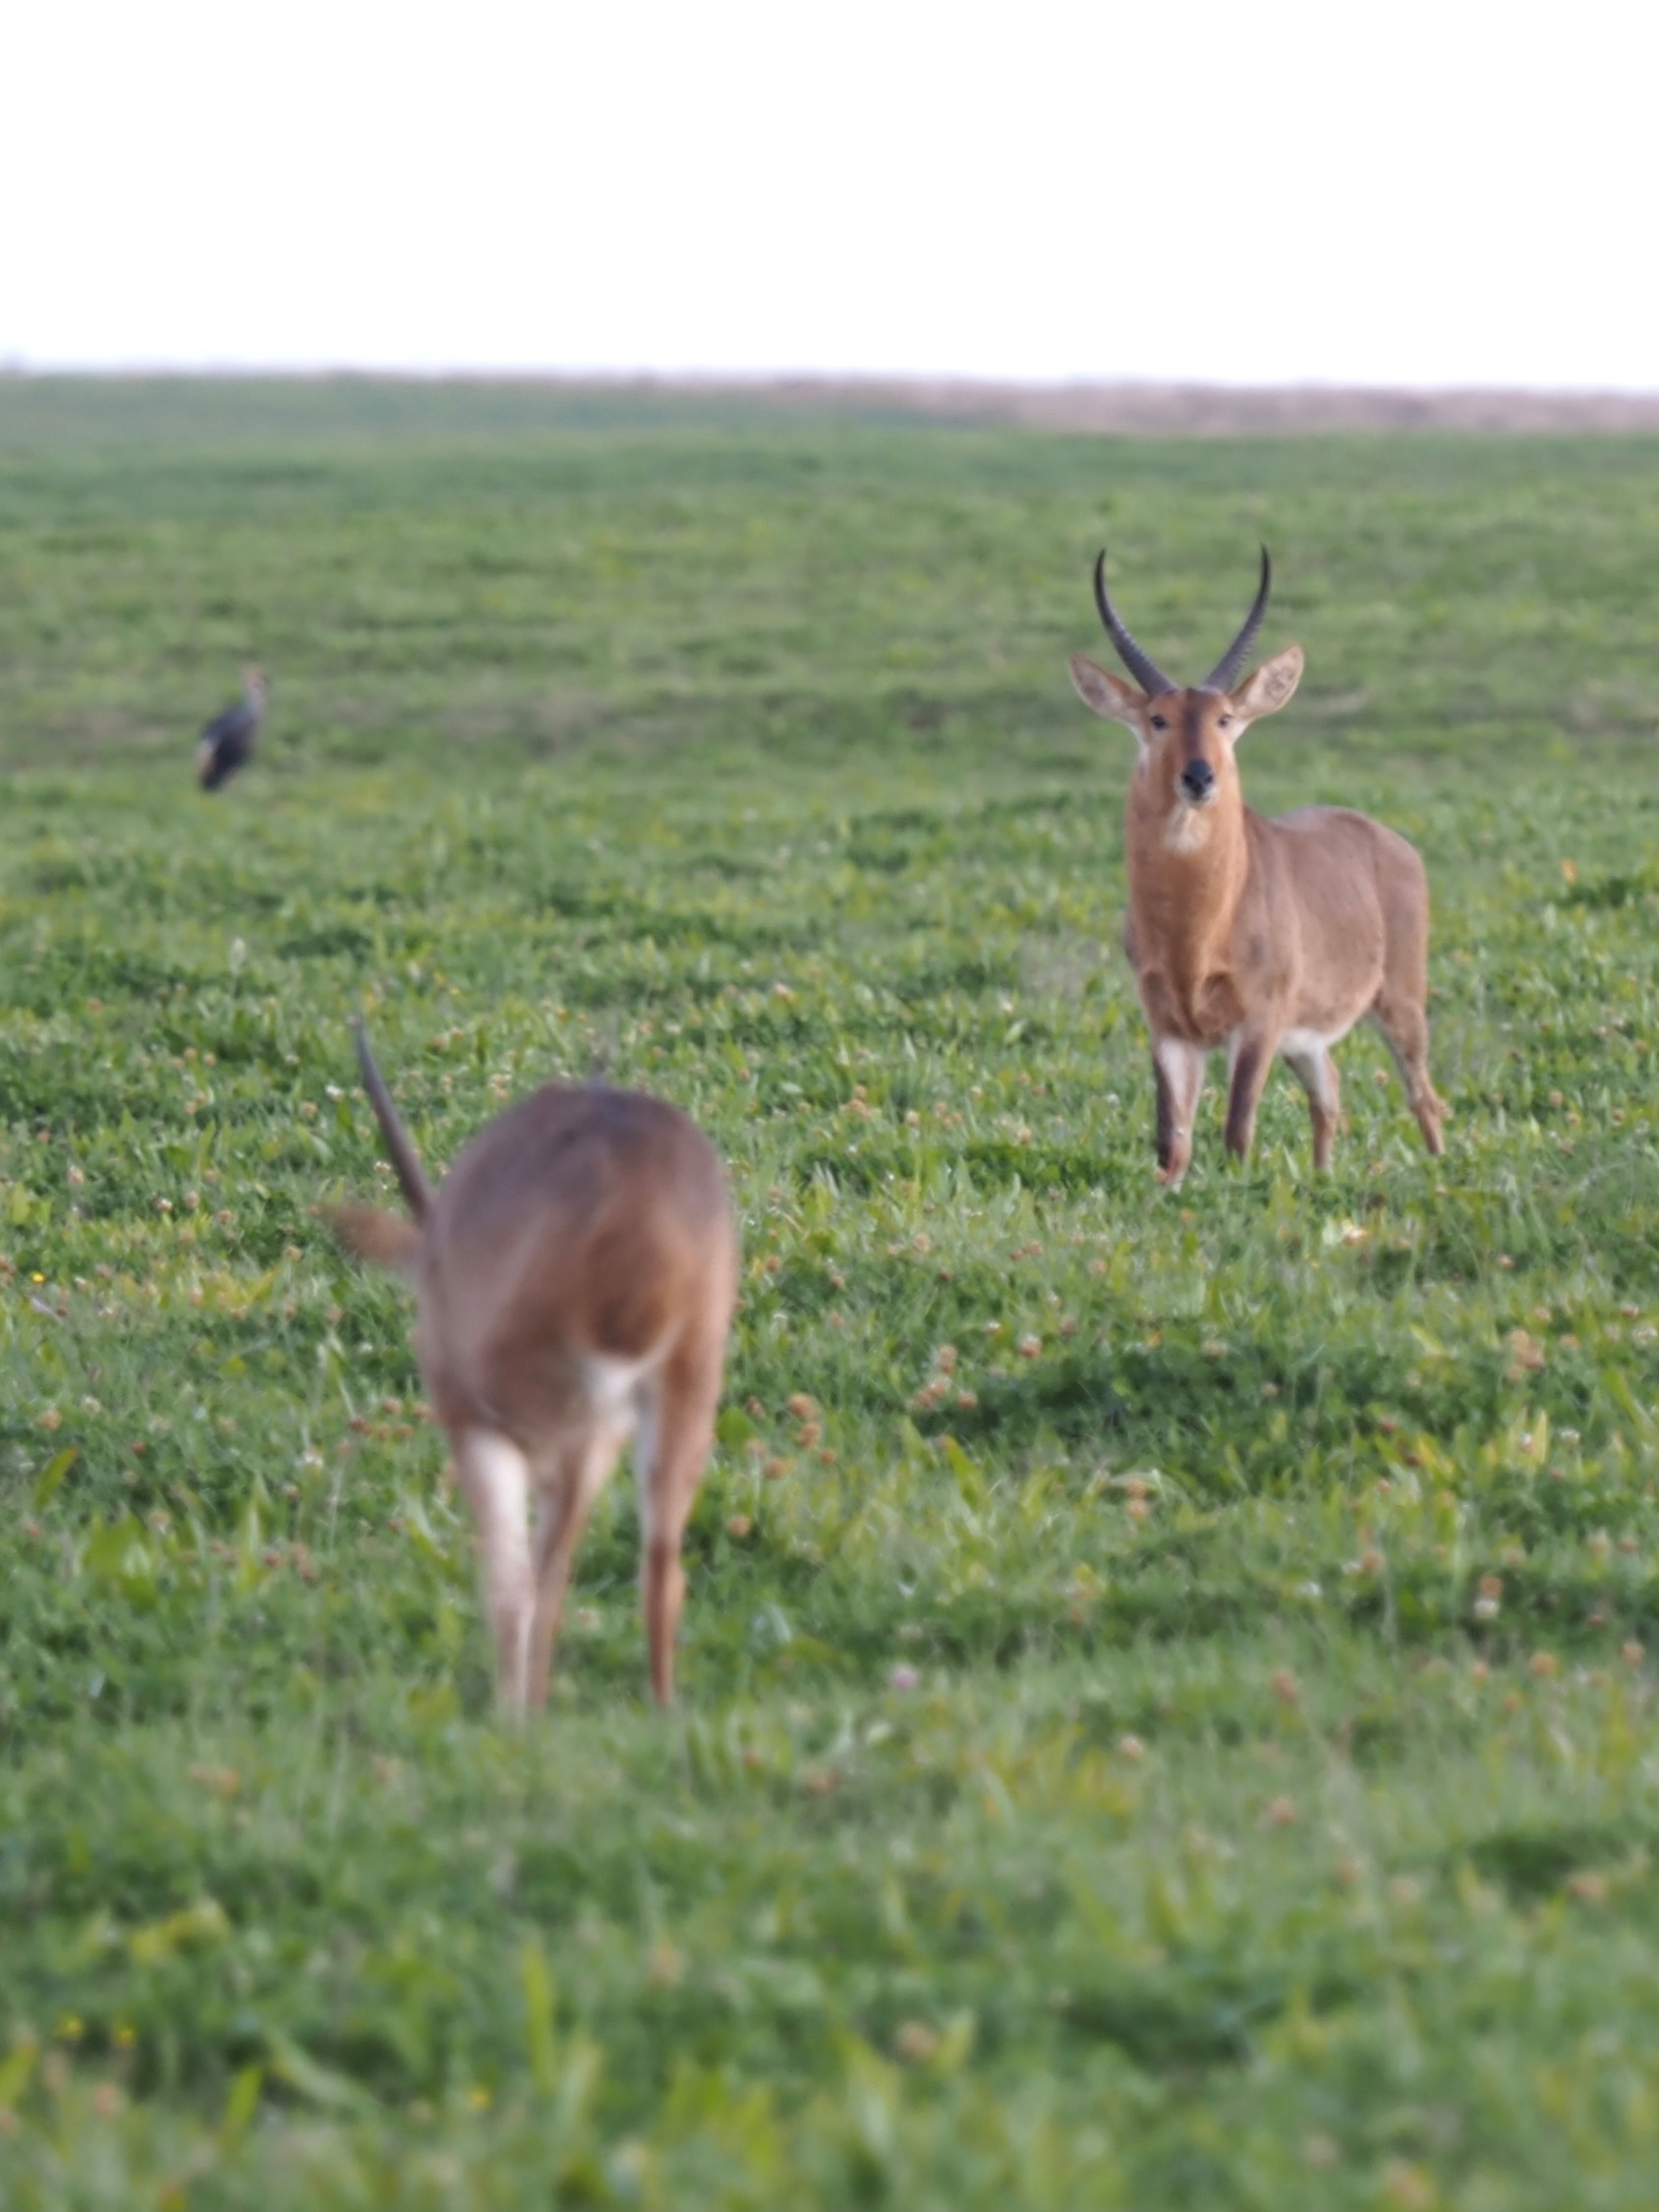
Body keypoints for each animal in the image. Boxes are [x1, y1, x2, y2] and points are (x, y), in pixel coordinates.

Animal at [327, 1026, 738, 1717]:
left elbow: (510, 1579)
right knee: (658, 1568)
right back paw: (658, 1714)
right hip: (683, 1385)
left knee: (534, 1581)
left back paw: (524, 1718)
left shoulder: (477, 1423)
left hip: (561, 1423)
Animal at [1079, 553, 1442, 1194]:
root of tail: (1389, 840)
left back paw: (1444, 1170)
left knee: (1423, 1095)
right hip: (1306, 1038)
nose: (1199, 777)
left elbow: (1237, 1134)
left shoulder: (1258, 1023)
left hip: (1398, 1002)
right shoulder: (1168, 1028)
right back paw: (1323, 1179)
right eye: (1158, 718)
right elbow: (1170, 1144)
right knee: (1331, 1093)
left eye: (1224, 717)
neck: (1197, 935)